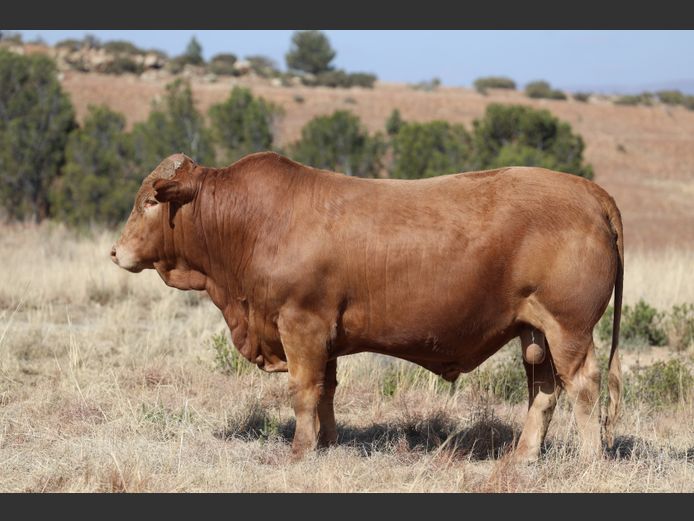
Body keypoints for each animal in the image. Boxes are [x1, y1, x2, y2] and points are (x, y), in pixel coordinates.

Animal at [111, 151, 623, 462]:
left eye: (149, 200)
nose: (116, 252)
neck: (252, 223)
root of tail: (588, 191)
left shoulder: (301, 325)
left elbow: (303, 391)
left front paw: (299, 452)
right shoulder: (325, 336)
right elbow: (326, 392)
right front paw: (327, 443)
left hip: (569, 329)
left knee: (582, 387)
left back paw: (589, 459)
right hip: (535, 332)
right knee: (544, 391)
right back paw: (523, 456)